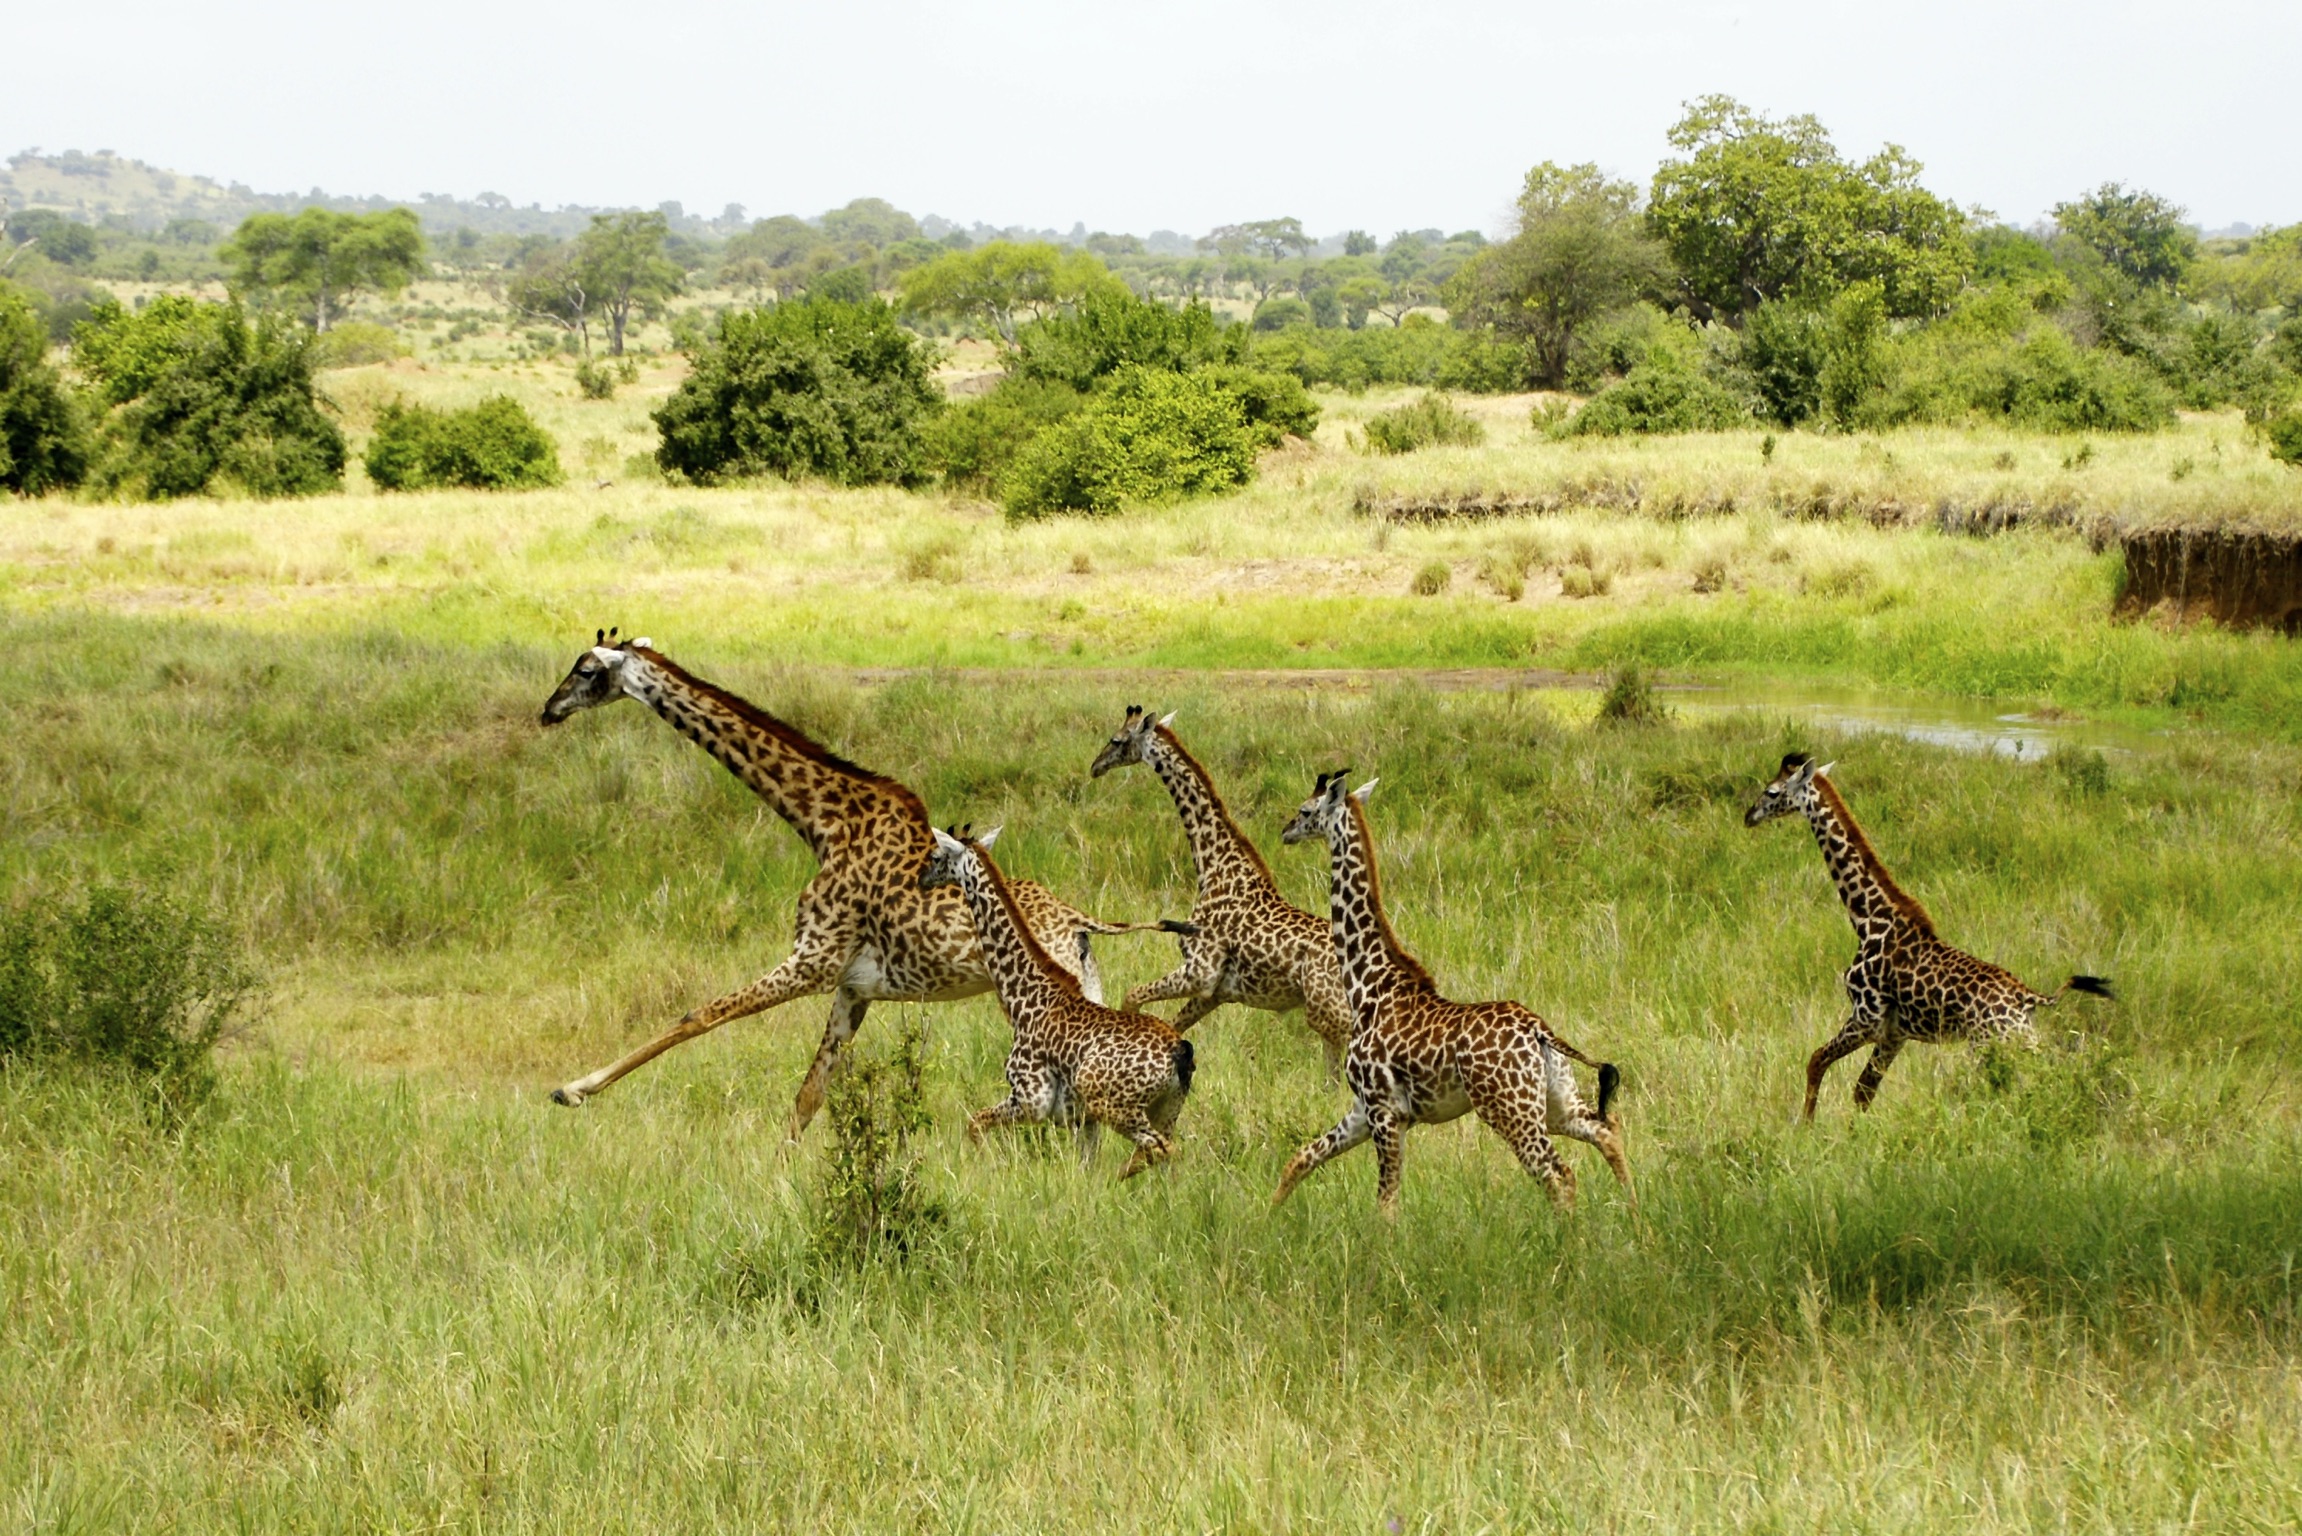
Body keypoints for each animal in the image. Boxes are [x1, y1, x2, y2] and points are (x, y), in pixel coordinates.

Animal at [537, 631, 1185, 1132]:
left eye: (586, 669)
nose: (548, 709)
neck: (822, 822)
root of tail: (1079, 922)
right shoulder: (855, 987)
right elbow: (807, 1096)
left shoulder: (815, 960)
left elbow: (699, 1015)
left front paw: (573, 1088)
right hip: (1086, 989)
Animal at [920, 825, 1197, 1178]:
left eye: (937, 856)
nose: (922, 879)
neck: (1024, 995)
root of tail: (1179, 1050)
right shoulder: (1082, 1120)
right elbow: (1085, 1168)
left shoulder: (1030, 1100)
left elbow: (975, 1124)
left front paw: (990, 1167)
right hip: (1166, 1108)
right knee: (1166, 1156)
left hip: (1112, 1104)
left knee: (1159, 1151)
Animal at [1090, 706, 1349, 1074]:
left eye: (1116, 740)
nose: (1095, 766)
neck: (1214, 868)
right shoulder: (1216, 992)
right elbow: (1172, 1025)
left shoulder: (1200, 972)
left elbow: (1132, 995)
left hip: (1330, 1011)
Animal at [1271, 772, 1630, 1213]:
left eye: (1306, 810)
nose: (1286, 831)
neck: (1367, 985)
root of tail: (1538, 1031)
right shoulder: (1363, 1109)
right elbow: (1301, 1159)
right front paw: (1268, 1217)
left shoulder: (1384, 1111)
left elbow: (1386, 1201)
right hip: (1555, 1101)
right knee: (1606, 1132)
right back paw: (1635, 1218)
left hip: (1510, 1109)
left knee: (1557, 1173)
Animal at [1745, 752, 2115, 1120]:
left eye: (1772, 791)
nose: (1749, 815)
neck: (1868, 918)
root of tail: (2030, 998)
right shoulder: (1895, 1034)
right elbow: (1863, 1091)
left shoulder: (1866, 1018)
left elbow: (1817, 1060)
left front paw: (1806, 1126)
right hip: (2019, 1041)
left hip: (1993, 1043)